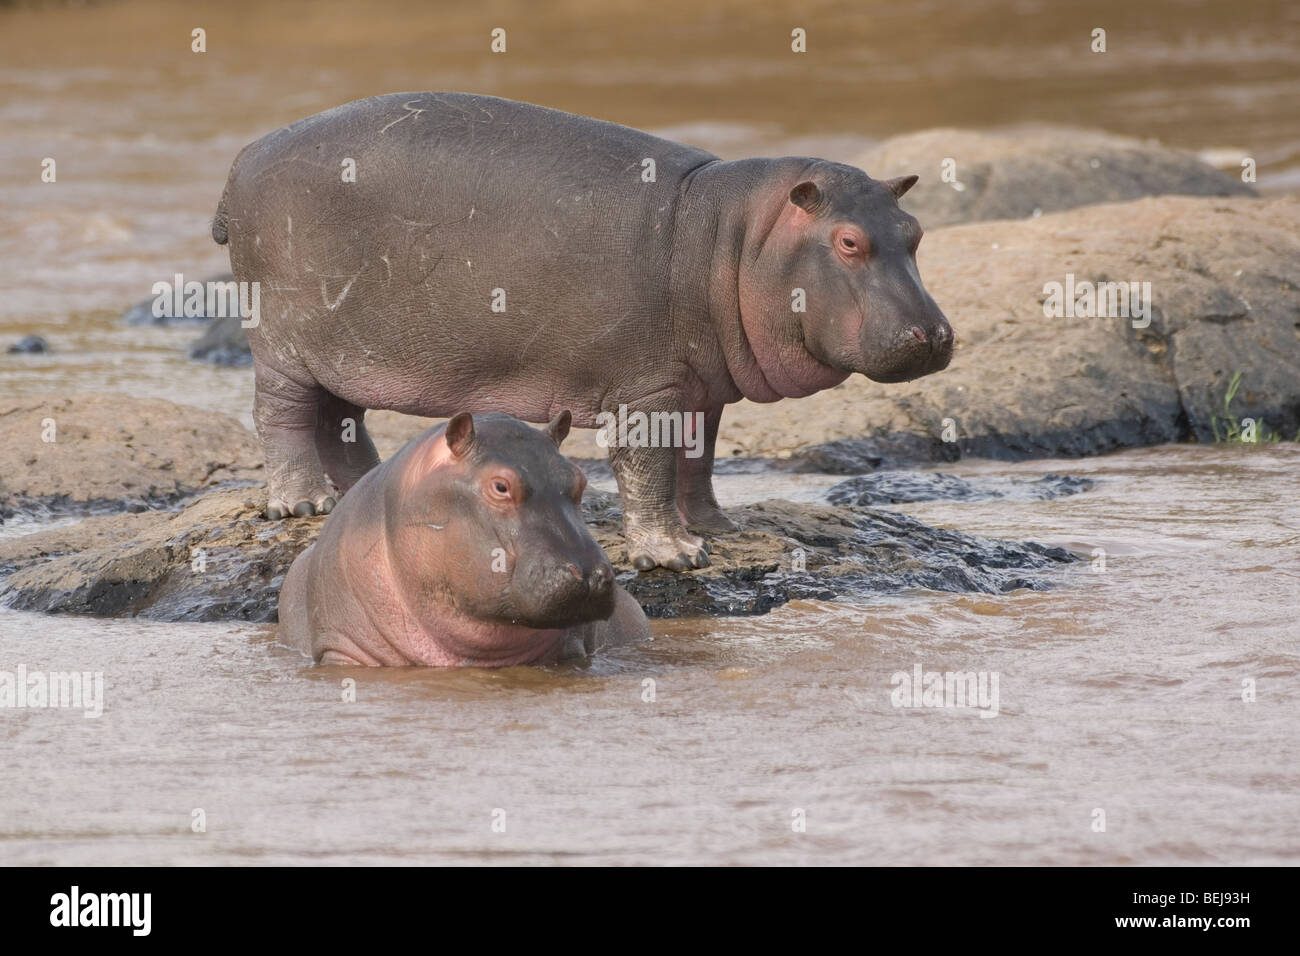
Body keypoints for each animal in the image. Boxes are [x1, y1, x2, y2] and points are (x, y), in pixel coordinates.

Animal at [214, 92, 954, 570]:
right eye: (850, 240)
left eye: (915, 232)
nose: (937, 336)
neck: (737, 237)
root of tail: (244, 155)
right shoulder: (648, 388)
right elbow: (650, 466)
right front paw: (673, 554)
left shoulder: (703, 389)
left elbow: (699, 461)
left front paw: (717, 527)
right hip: (283, 343)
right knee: (281, 413)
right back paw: (302, 504)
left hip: (345, 351)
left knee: (340, 416)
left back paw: (371, 488)